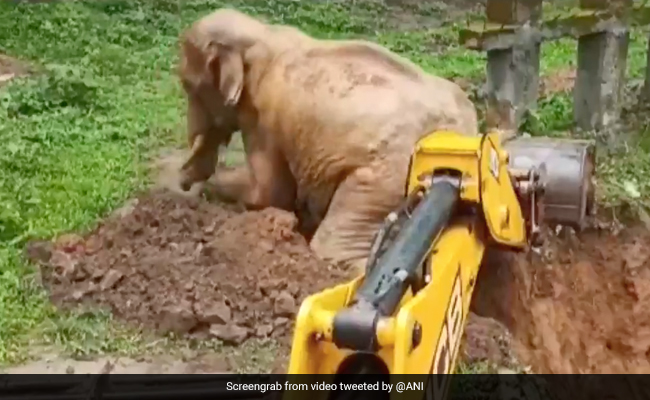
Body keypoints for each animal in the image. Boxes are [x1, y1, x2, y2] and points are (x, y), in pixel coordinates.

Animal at [177, 8, 479, 273]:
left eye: (188, 85)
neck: (261, 31)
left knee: (333, 245)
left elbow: (269, 193)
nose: (183, 184)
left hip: (386, 177)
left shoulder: (262, 117)